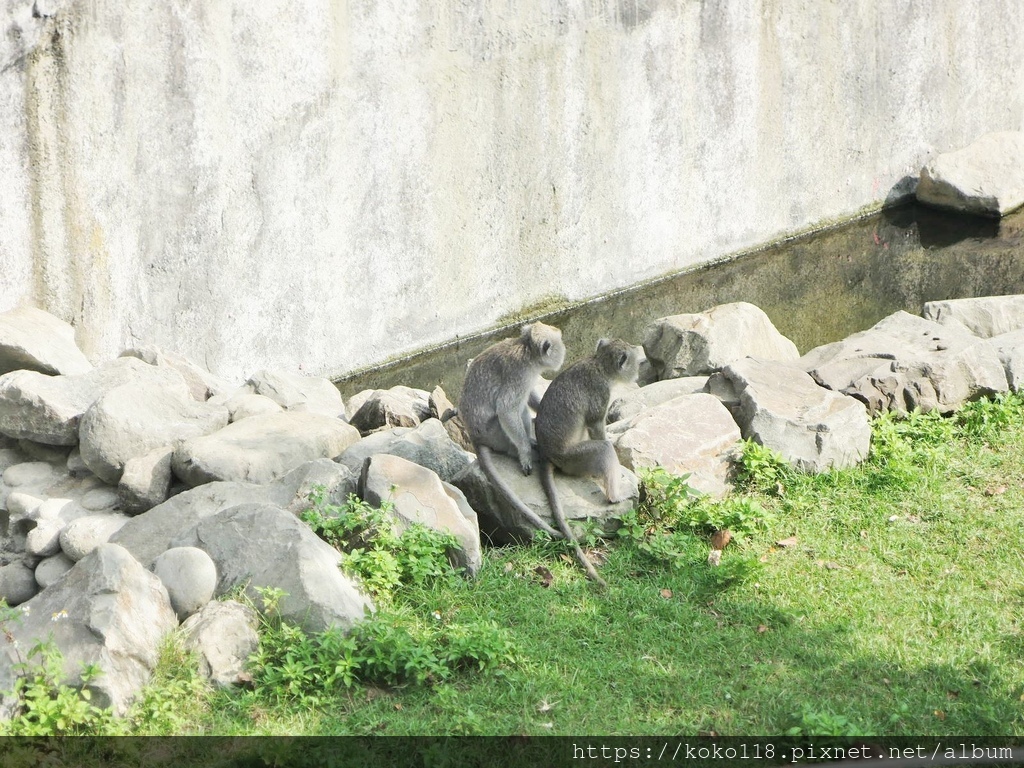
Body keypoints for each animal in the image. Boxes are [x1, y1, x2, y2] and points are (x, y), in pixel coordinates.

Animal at [458, 325, 569, 540]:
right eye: (559, 341)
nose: (564, 348)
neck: (527, 350)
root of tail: (475, 436)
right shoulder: (520, 375)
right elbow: (507, 409)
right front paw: (525, 454)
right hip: (495, 434)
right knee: (519, 410)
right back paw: (523, 448)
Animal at [532, 335, 643, 581]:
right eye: (635, 362)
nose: (638, 372)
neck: (599, 364)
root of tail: (548, 454)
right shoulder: (600, 393)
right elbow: (595, 426)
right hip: (573, 459)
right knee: (602, 449)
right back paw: (614, 497)